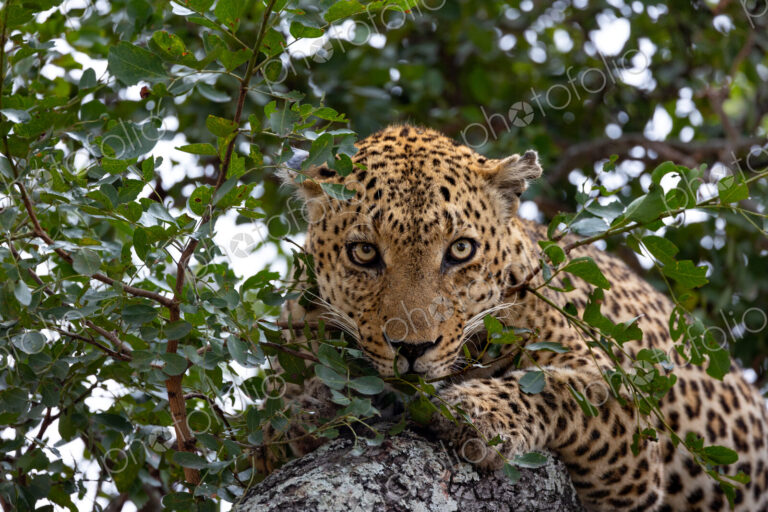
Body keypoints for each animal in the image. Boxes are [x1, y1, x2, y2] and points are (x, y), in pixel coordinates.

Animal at [276, 124, 768, 511]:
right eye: (363, 252)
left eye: (460, 250)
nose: (412, 348)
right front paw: (311, 409)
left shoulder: (627, 409)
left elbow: (555, 389)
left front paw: (475, 412)